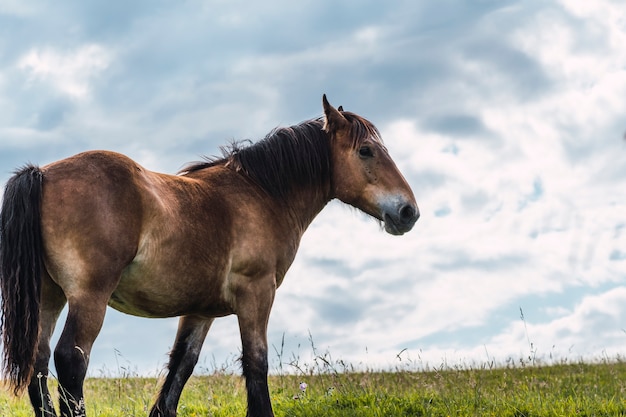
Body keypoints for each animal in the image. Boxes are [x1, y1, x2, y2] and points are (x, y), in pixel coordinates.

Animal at [1, 96, 420, 414]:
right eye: (366, 151)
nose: (408, 212)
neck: (263, 195)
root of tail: (42, 174)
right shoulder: (257, 295)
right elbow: (257, 365)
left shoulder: (199, 312)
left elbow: (178, 373)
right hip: (89, 298)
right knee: (71, 362)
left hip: (50, 298)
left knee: (39, 366)